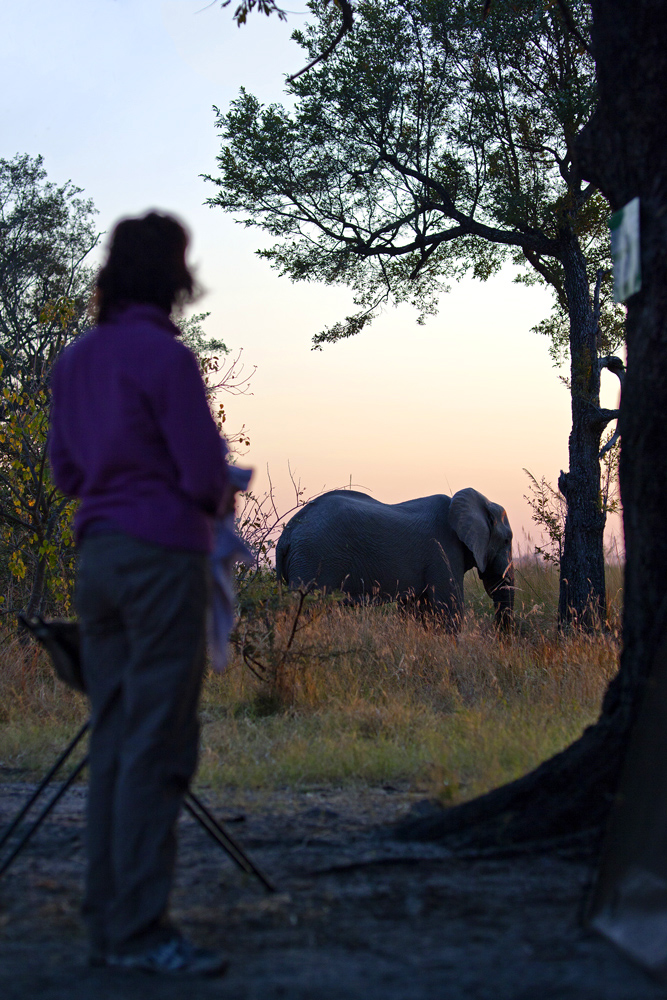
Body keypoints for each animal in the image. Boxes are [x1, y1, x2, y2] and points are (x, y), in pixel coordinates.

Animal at [276, 486, 516, 632]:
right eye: (508, 540)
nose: (500, 639)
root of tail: (286, 535)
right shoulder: (444, 551)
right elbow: (449, 608)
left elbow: (414, 610)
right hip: (312, 559)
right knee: (308, 610)